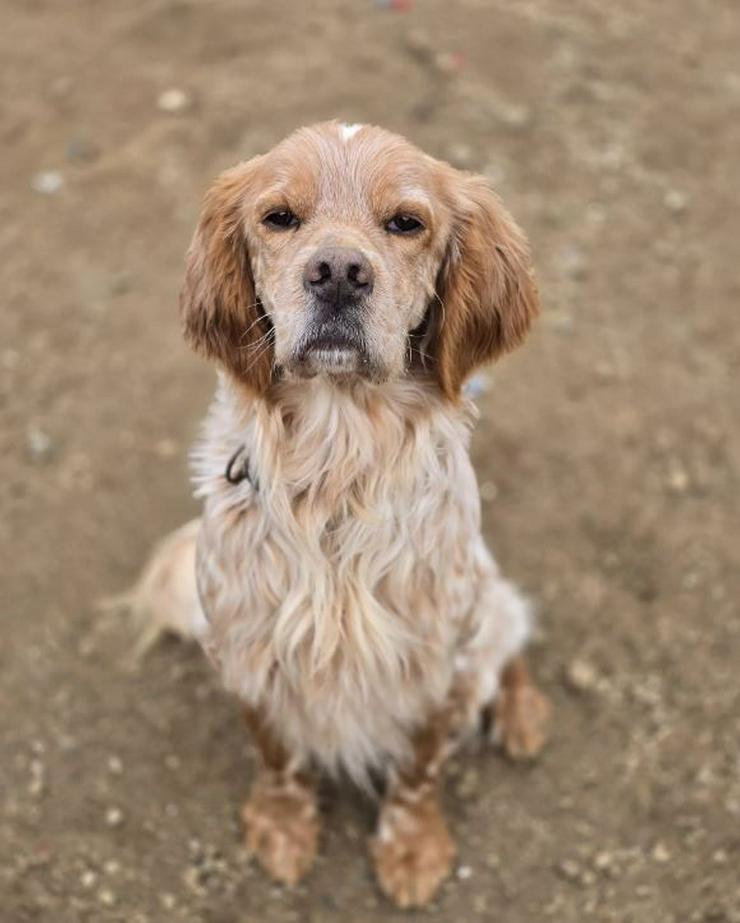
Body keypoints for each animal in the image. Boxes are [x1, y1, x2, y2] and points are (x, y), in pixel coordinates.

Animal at [130, 122, 552, 908]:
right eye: (279, 217)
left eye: (407, 223)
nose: (337, 272)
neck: (336, 472)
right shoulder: (246, 647)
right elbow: (276, 755)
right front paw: (282, 826)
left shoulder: (435, 658)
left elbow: (418, 769)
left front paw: (411, 847)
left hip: (483, 603)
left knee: (507, 640)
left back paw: (522, 713)